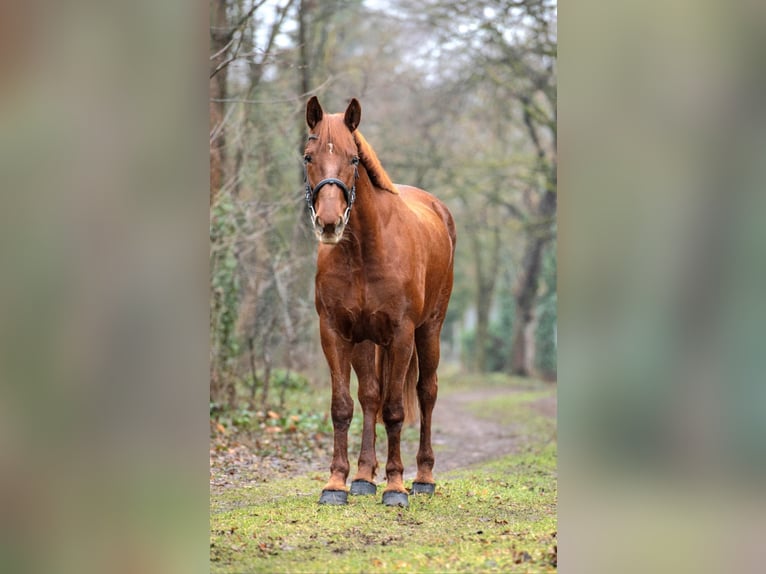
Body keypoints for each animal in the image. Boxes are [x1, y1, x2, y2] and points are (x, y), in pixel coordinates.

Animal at [303, 96, 456, 507]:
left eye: (354, 159)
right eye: (308, 156)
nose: (329, 223)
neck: (364, 251)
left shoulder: (401, 335)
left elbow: (396, 410)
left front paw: (395, 486)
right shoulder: (336, 332)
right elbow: (344, 406)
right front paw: (337, 483)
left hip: (429, 331)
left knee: (426, 392)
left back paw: (423, 477)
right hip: (367, 341)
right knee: (370, 396)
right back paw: (362, 476)